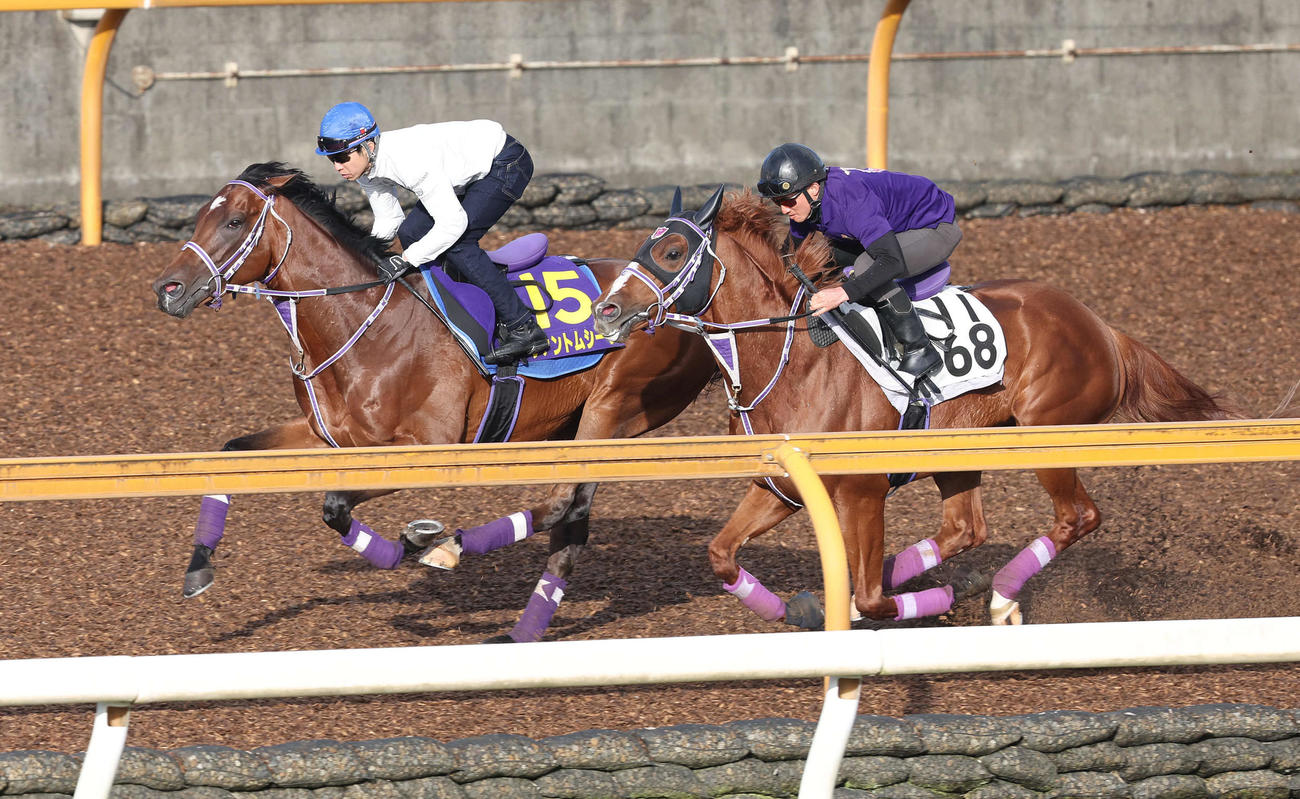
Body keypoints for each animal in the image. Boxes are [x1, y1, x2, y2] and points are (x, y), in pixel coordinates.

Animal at [150, 162, 717, 642]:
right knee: (572, 521)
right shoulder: (324, 435)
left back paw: (452, 550)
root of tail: (693, 308)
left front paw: (412, 543)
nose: (167, 288)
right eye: (200, 217)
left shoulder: (427, 445)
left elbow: (335, 505)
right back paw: (520, 632)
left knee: (564, 502)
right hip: (580, 424)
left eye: (234, 221)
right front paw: (198, 568)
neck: (369, 323)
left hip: (612, 408)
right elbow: (229, 453)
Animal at [592, 187, 1237, 627]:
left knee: (1076, 518)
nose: (606, 310)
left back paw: (998, 595)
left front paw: (941, 596)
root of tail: (1101, 326)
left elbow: (875, 599)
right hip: (958, 452)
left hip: (1046, 437)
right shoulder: (782, 485)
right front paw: (805, 607)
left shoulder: (863, 491)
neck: (791, 358)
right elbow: (723, 555)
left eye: (672, 250)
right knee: (965, 528)